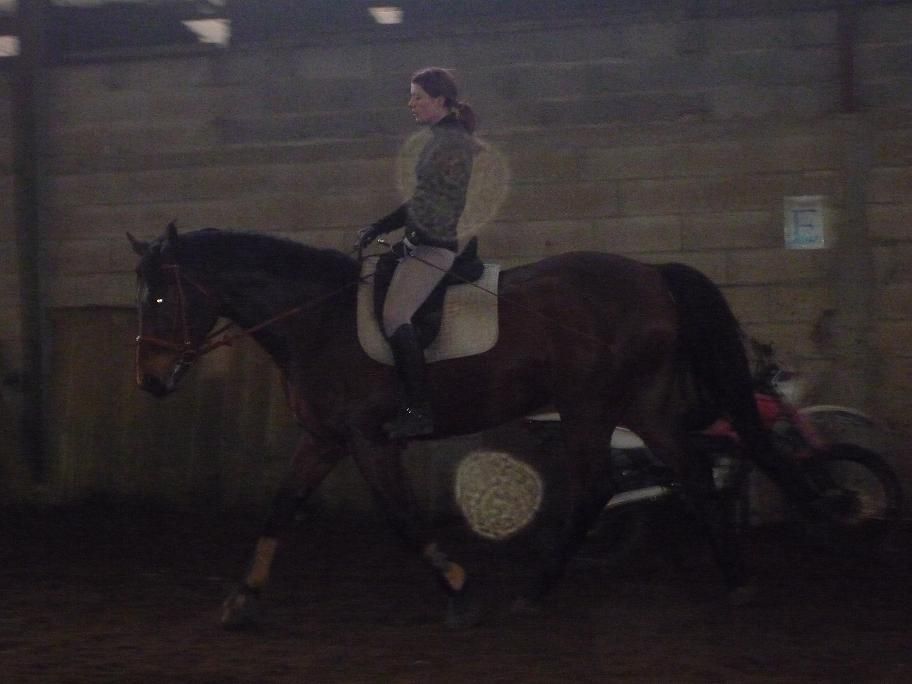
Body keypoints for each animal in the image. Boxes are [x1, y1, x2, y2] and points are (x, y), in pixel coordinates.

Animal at [129, 222, 826, 627]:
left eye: (160, 297)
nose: (151, 381)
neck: (316, 319)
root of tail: (654, 275)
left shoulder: (367, 439)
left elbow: (404, 519)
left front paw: (459, 588)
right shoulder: (325, 439)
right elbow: (281, 507)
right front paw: (243, 595)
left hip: (590, 405)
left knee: (598, 487)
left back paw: (537, 589)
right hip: (641, 406)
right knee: (693, 473)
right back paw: (736, 582)